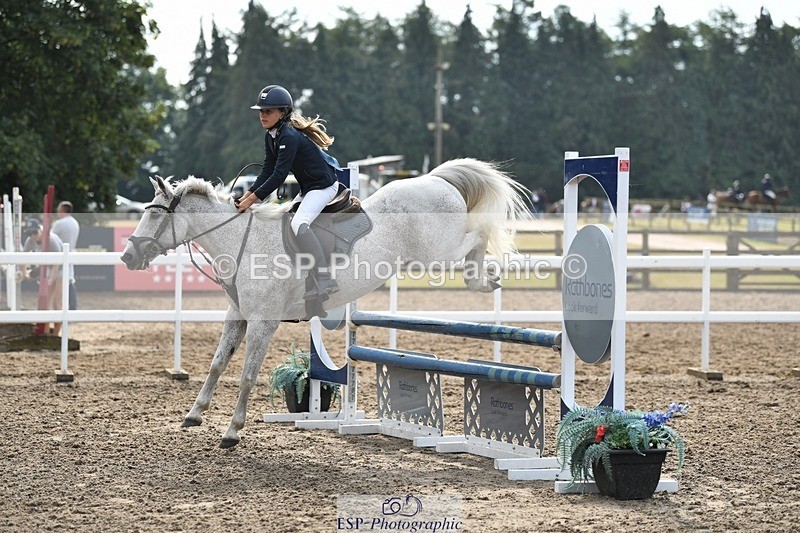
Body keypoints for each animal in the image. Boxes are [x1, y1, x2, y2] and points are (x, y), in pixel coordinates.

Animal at [120, 158, 530, 448]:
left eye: (154, 215)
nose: (127, 257)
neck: (244, 243)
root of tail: (436, 178)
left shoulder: (264, 322)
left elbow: (247, 375)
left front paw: (232, 432)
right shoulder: (237, 315)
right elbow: (217, 364)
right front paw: (194, 414)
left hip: (436, 254)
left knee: (477, 237)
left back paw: (492, 271)